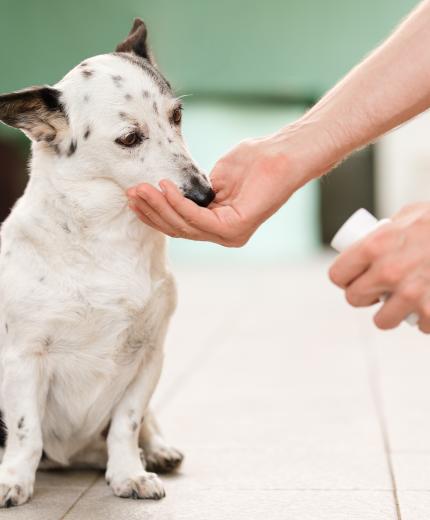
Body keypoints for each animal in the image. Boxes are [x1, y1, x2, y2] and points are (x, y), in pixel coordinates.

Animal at [0, 17, 215, 508]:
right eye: (129, 139)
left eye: (177, 116)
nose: (204, 196)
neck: (109, 239)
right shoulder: (22, 359)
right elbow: (25, 433)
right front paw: (13, 480)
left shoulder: (148, 357)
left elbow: (127, 423)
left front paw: (128, 473)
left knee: (145, 423)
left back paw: (157, 452)